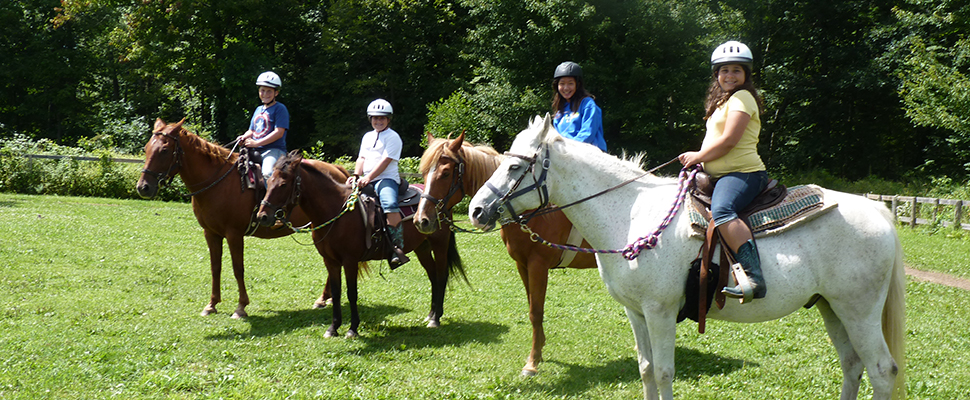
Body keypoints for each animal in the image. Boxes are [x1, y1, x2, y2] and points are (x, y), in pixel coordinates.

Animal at [134, 118, 348, 318]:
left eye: (164, 150)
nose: (143, 187)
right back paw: (326, 298)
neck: (217, 181)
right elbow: (215, 267)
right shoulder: (211, 233)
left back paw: (323, 298)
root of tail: (338, 170)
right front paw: (211, 304)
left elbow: (238, 268)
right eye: (146, 148)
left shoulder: (234, 234)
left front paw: (241, 307)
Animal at [255, 150, 466, 338]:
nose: (262, 216)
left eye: (283, 184)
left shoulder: (350, 261)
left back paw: (436, 319)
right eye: (269, 182)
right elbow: (337, 293)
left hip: (439, 244)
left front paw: (352, 329)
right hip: (422, 247)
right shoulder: (330, 261)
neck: (335, 211)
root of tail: (439, 202)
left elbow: (351, 293)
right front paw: (333, 328)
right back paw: (431, 314)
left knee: (441, 275)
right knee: (433, 276)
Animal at [410, 133, 596, 376]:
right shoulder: (523, 265)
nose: (421, 220)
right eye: (423, 173)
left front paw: (532, 363)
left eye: (446, 173)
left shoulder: (538, 265)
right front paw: (539, 351)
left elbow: (536, 311)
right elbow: (532, 307)